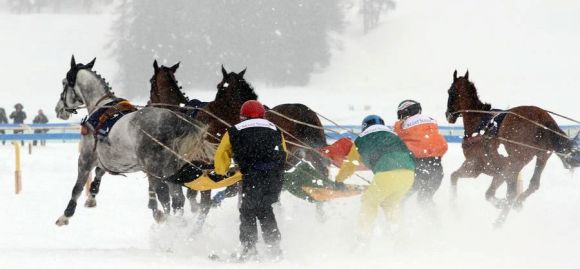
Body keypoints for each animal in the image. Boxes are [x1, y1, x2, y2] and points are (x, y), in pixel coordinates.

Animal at [53, 55, 213, 225]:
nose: (58, 109)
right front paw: (92, 197)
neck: (101, 108)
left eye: (63, 82)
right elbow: (99, 173)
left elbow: (77, 188)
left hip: (156, 170)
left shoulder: (85, 158)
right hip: (173, 170)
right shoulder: (108, 160)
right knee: (178, 199)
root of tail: (175, 120)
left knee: (165, 197)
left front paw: (66, 215)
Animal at [444, 69, 576, 224]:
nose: (448, 115)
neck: (479, 126)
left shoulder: (475, 166)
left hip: (513, 164)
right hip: (540, 156)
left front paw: (455, 209)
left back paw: (500, 219)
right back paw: (515, 205)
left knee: (507, 193)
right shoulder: (498, 170)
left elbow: (454, 177)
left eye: (450, 91)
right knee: (532, 184)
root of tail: (541, 117)